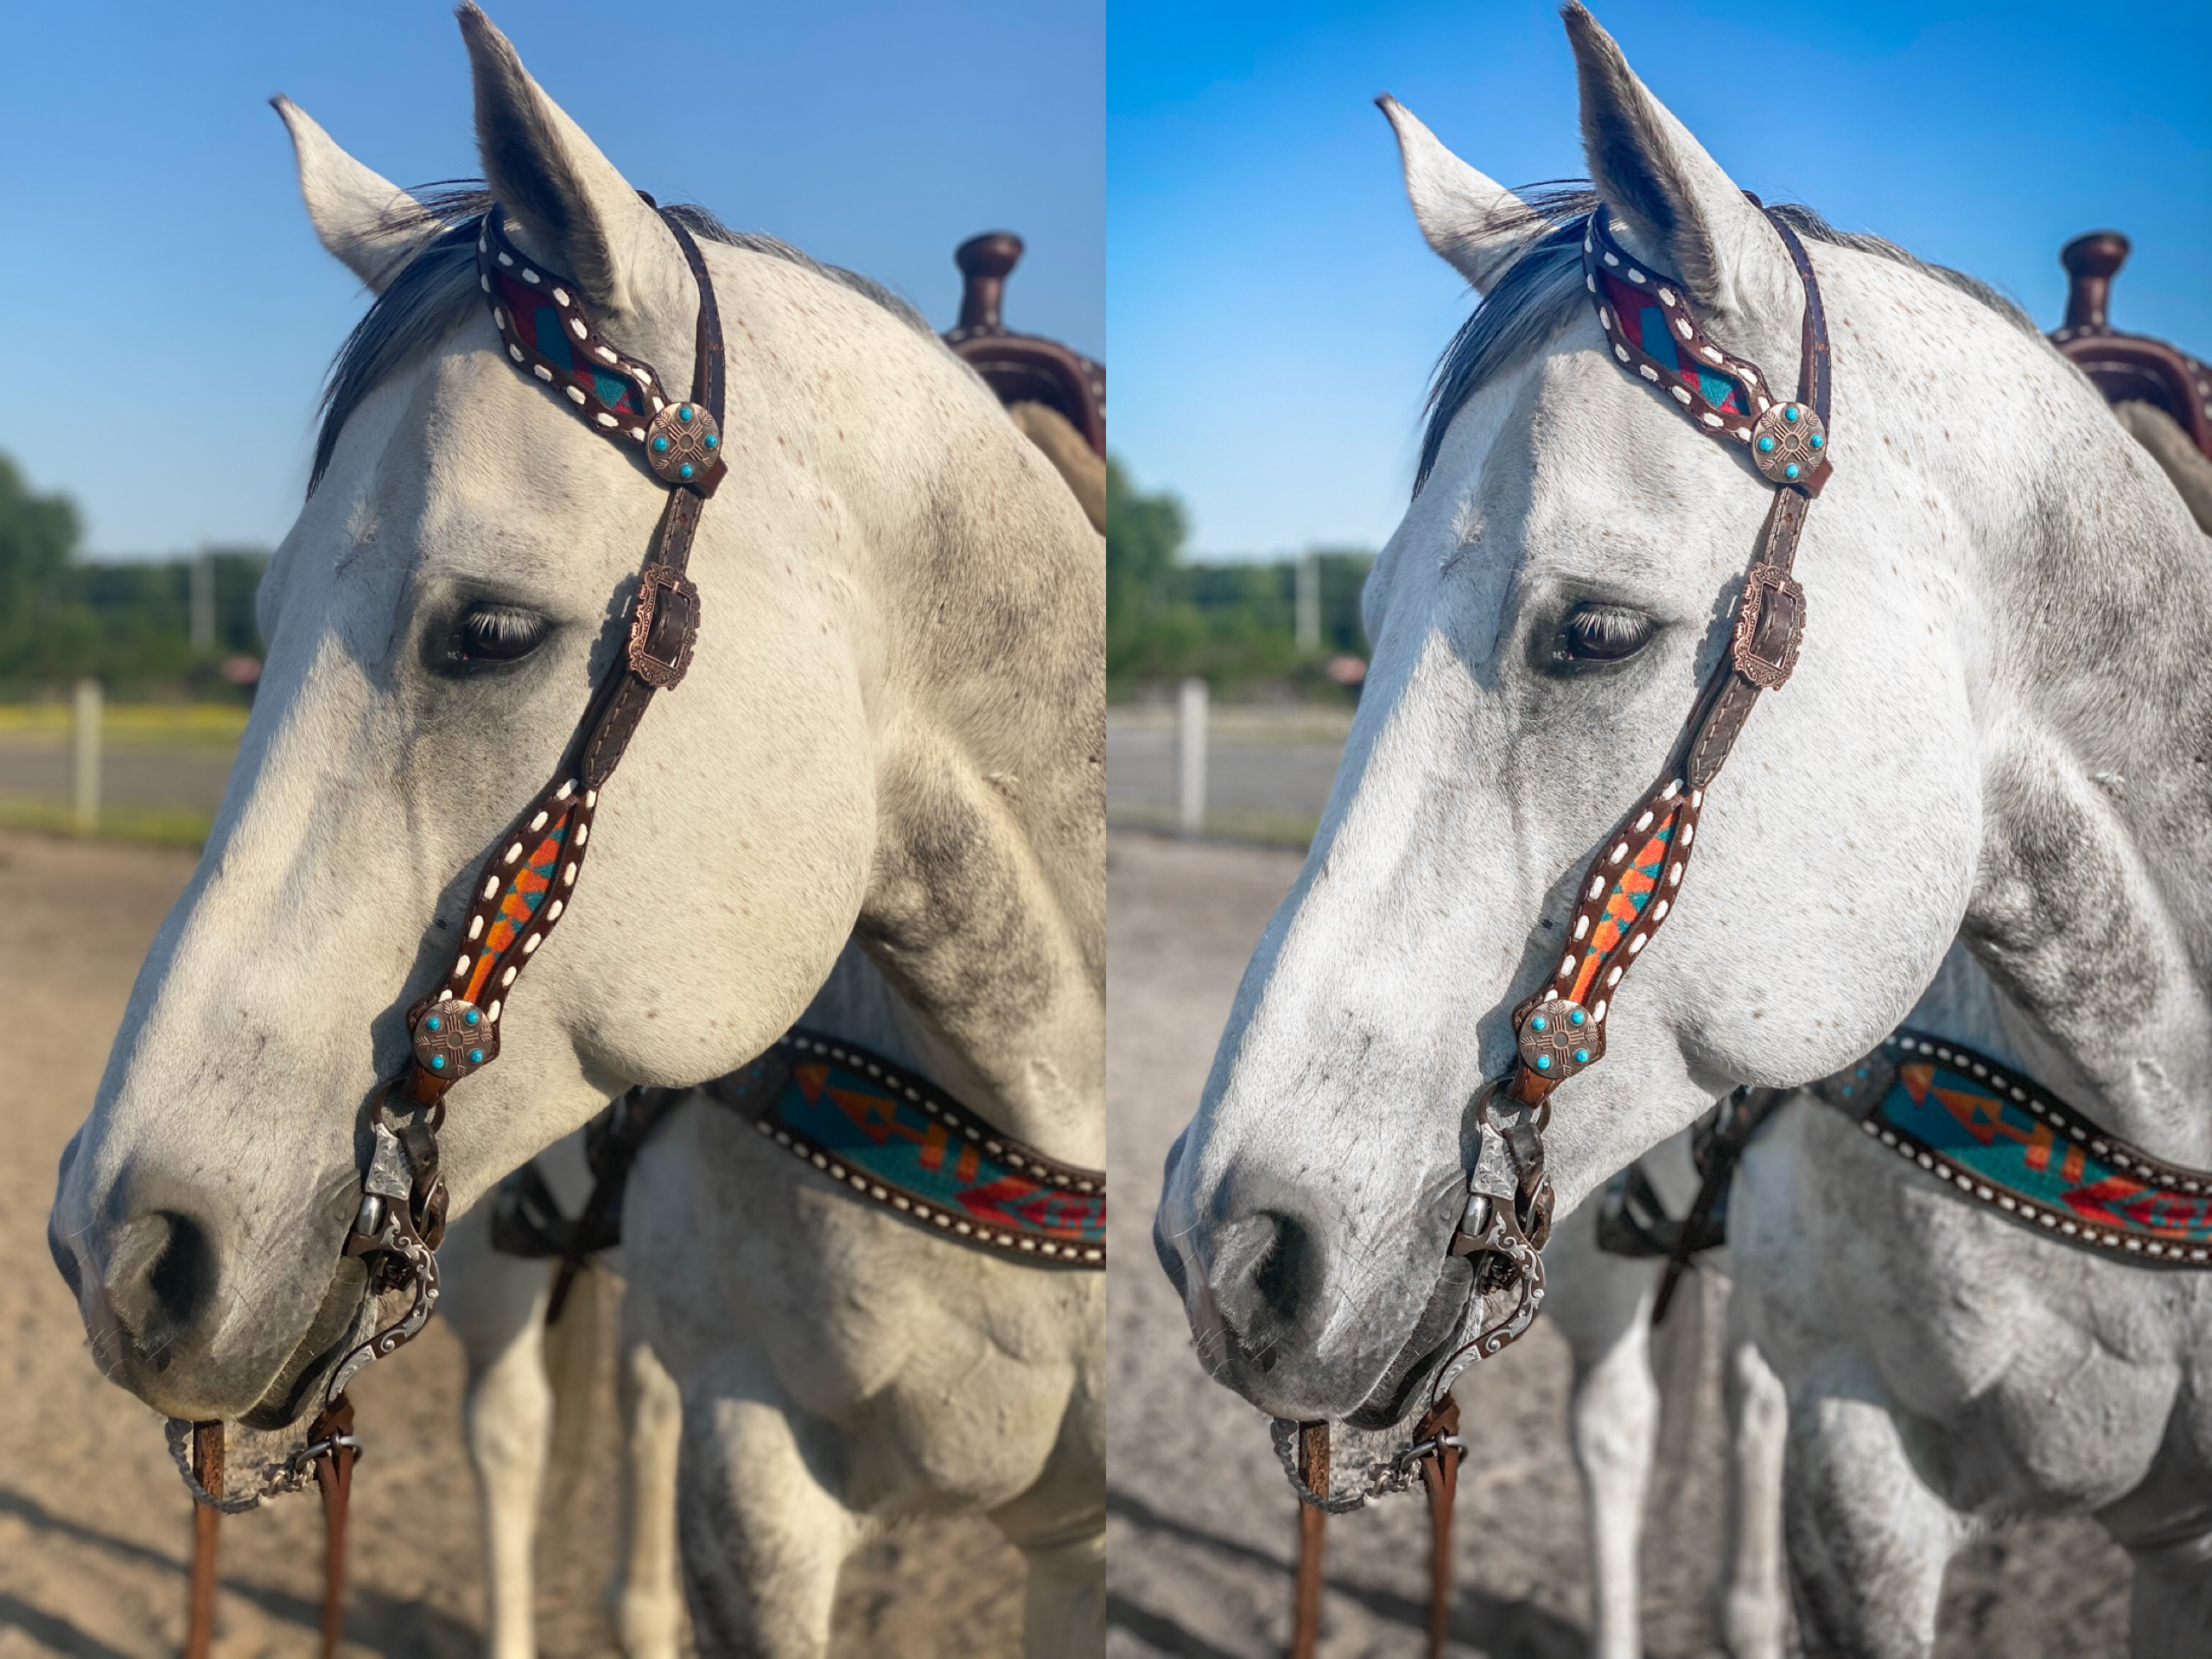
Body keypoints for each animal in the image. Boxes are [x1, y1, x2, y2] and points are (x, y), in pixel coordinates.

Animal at [44, 8, 1102, 1656]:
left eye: (487, 631)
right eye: (263, 617)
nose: (119, 1250)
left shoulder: (1064, 1541)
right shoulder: (760, 1469)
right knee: (513, 1436)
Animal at [1152, 6, 2212, 1654]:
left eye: (1593, 631)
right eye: (1369, 618)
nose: (1227, 1251)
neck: (2157, 1106)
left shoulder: (2171, 1547)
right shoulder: (1868, 1463)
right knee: (1619, 1429)